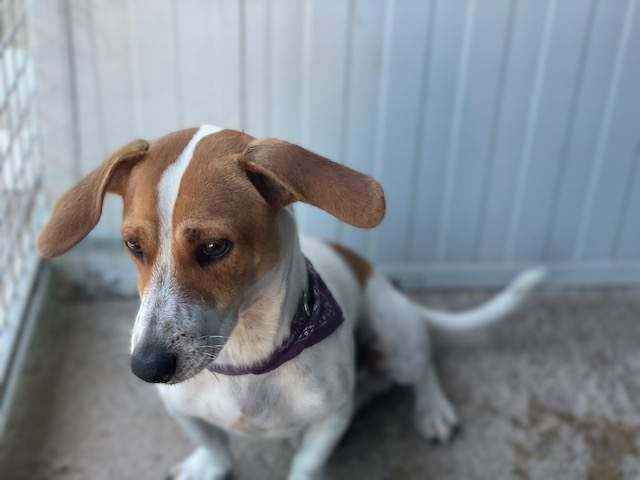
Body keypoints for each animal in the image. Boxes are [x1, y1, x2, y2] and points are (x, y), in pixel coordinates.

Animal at [38, 126, 545, 480]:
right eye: (133, 247)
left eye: (215, 247)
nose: (146, 368)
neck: (246, 361)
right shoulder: (181, 406)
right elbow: (214, 446)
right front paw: (209, 465)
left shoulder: (330, 418)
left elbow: (306, 464)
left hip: (396, 341)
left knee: (423, 367)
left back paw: (433, 409)